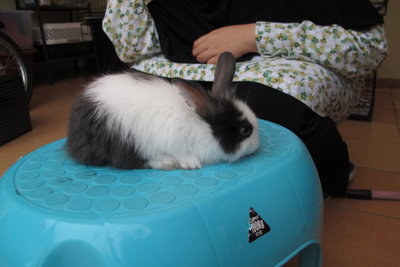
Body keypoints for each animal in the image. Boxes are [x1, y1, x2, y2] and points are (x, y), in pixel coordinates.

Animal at [66, 51, 260, 171]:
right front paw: (191, 163)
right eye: (245, 130)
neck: (202, 125)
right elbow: (181, 153)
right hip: (123, 140)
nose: (257, 146)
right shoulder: (174, 142)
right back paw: (167, 162)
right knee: (128, 161)